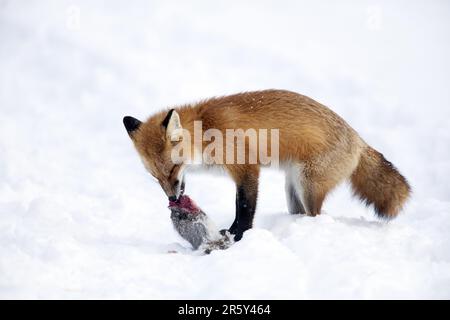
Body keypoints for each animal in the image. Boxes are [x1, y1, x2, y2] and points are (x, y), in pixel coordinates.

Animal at [124, 90, 412, 240]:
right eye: (155, 177)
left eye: (173, 169)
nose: (172, 199)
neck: (207, 131)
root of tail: (359, 140)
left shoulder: (247, 169)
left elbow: (244, 208)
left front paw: (237, 236)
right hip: (293, 189)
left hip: (308, 186)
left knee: (317, 215)